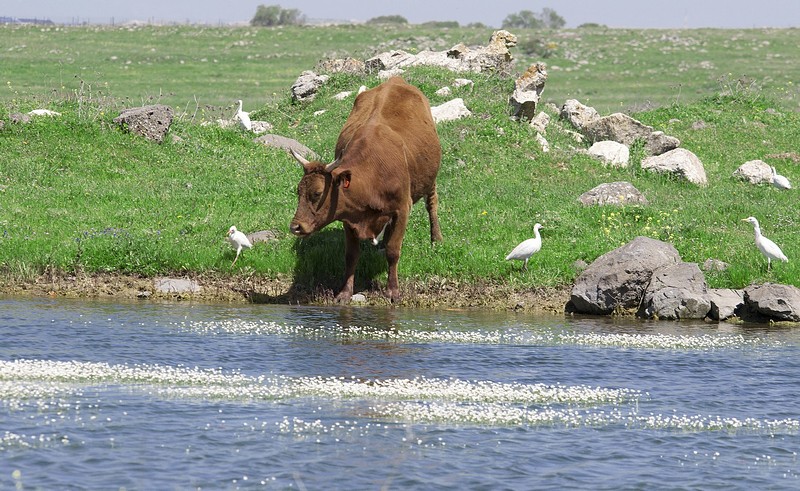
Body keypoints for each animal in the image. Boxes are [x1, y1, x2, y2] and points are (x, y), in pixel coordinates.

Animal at [289, 76, 443, 303]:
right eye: (298, 192)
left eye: (317, 193)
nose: (295, 227)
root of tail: (395, 80)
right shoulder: (348, 216)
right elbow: (351, 255)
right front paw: (344, 292)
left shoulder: (402, 209)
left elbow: (393, 251)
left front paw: (393, 291)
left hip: (430, 178)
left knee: (431, 204)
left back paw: (436, 239)